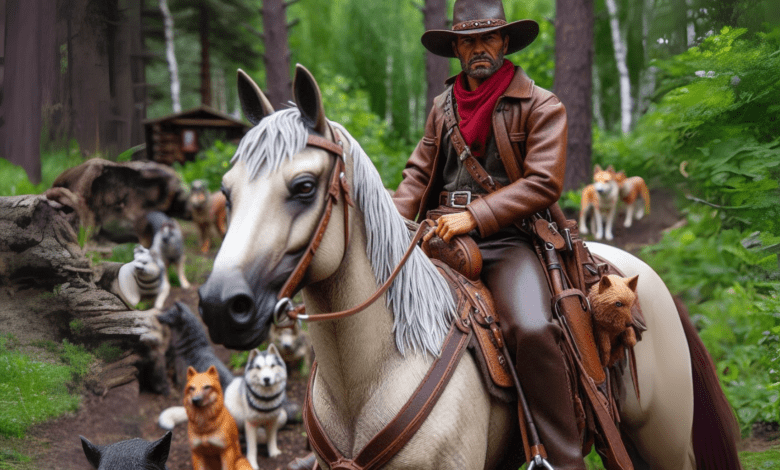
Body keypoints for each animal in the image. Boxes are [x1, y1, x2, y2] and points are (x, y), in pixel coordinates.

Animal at [198, 66, 740, 470]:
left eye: (304, 187)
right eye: (226, 190)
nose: (222, 306)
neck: (376, 372)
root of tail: (644, 276)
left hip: (665, 443)